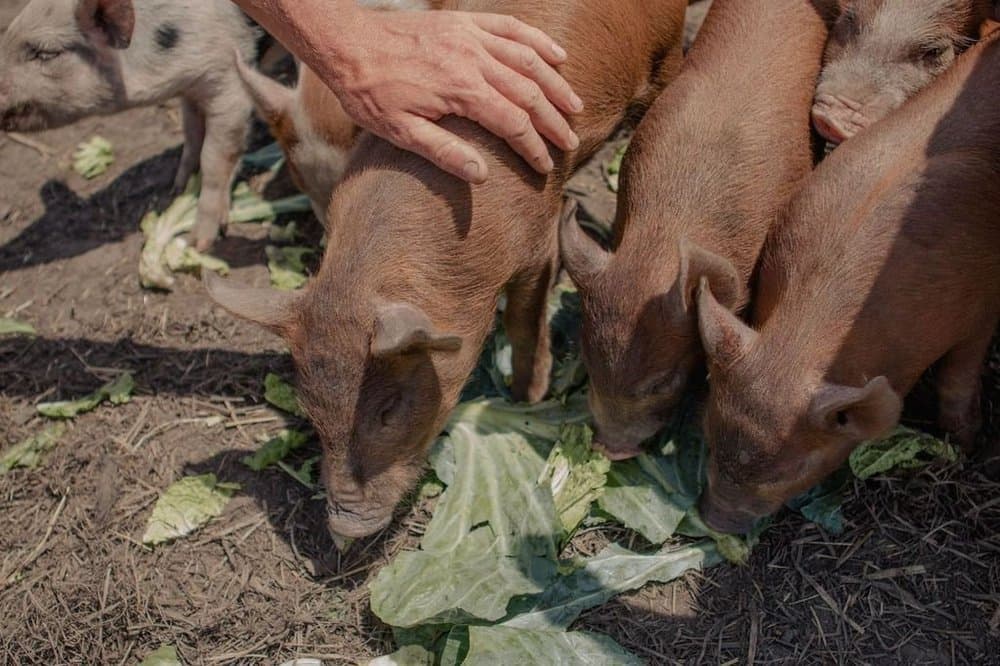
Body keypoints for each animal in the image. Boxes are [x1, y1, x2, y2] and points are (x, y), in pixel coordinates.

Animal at [0, 0, 257, 250]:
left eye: (46, 53)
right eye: (7, 37)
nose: (195, 244)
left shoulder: (230, 84)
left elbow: (214, 159)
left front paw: (197, 244)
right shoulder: (192, 91)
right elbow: (193, 133)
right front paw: (178, 188)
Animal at [205, 0, 688, 539]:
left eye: (389, 409)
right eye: (310, 410)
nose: (344, 529)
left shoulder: (539, 240)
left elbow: (524, 321)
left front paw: (527, 397)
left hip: (666, 50)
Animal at [697, 30, 1000, 534]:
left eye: (794, 468)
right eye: (708, 432)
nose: (712, 520)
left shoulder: (981, 305)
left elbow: (958, 376)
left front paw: (968, 444)